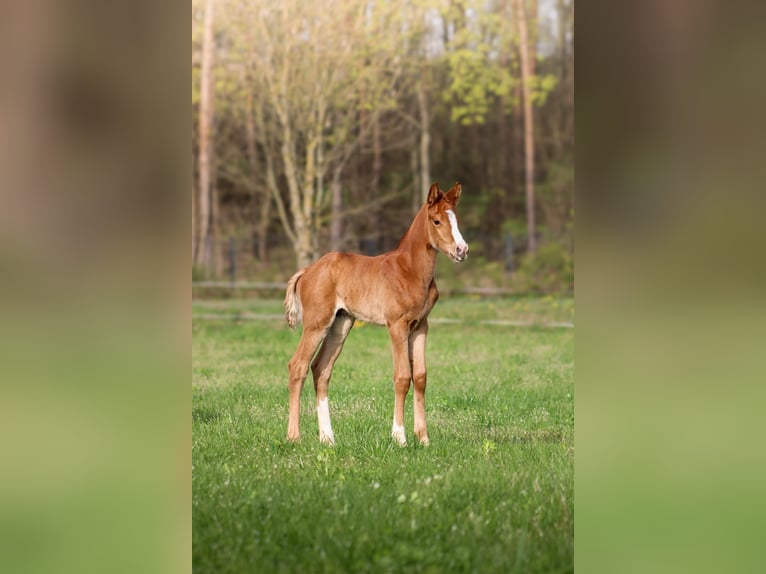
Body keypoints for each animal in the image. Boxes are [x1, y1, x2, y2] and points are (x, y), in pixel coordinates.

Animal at [284, 182, 472, 448]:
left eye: (455, 219)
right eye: (436, 221)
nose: (461, 250)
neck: (410, 270)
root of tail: (307, 271)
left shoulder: (421, 326)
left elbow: (420, 377)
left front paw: (423, 438)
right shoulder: (396, 325)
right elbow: (402, 377)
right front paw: (399, 436)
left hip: (341, 323)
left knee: (320, 369)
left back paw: (328, 438)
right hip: (316, 324)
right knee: (298, 365)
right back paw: (294, 436)